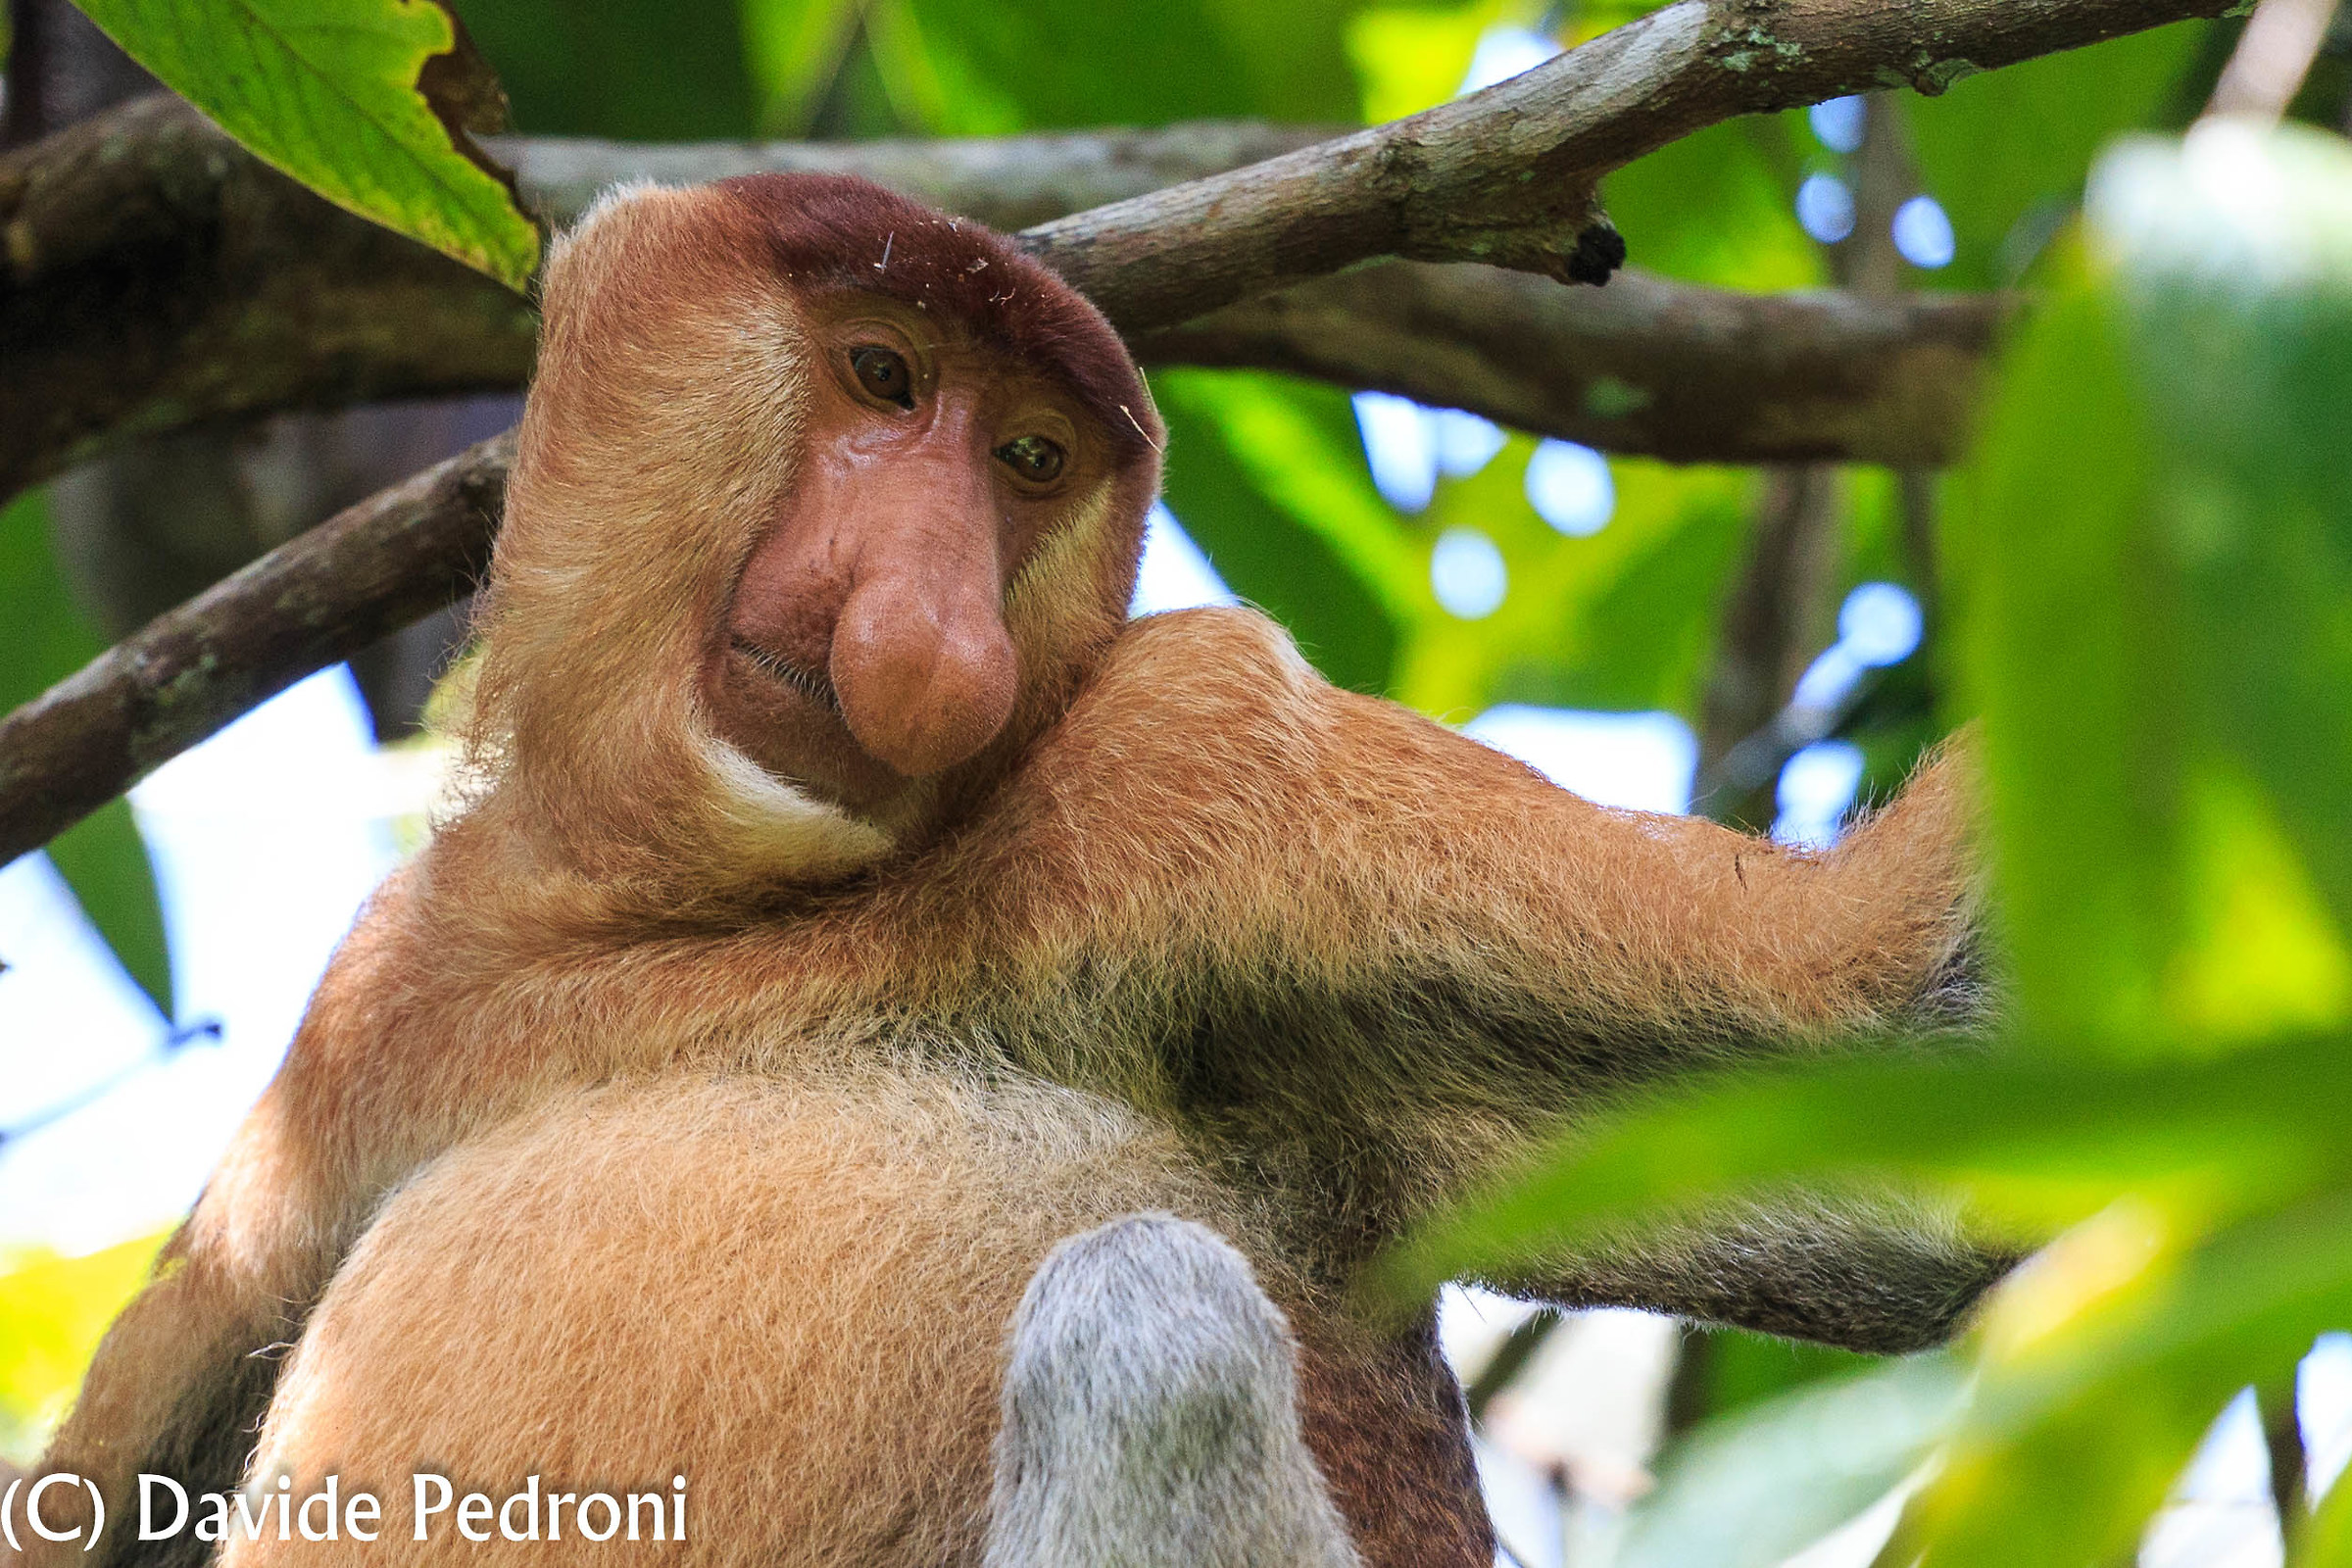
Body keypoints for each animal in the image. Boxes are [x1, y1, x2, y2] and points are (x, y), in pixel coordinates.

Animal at [15, 172, 1996, 1568]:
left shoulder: (1204, 771)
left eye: (1031, 462)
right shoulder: (375, 1019)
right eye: (884, 376)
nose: (938, 637)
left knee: (1152, 1327)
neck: (691, 921)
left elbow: (1903, 1029)